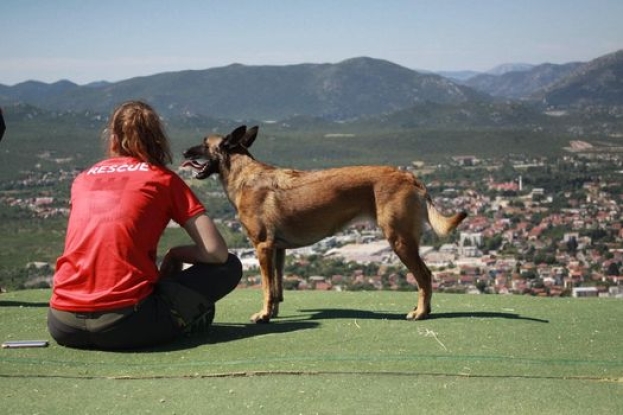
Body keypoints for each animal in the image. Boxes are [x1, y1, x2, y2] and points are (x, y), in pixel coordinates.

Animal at [185, 125, 468, 324]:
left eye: (204, 143)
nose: (185, 153)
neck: (244, 174)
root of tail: (410, 176)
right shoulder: (277, 250)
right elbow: (276, 288)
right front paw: (272, 313)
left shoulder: (262, 247)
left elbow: (266, 286)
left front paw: (262, 315)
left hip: (399, 240)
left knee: (425, 276)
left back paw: (421, 312)